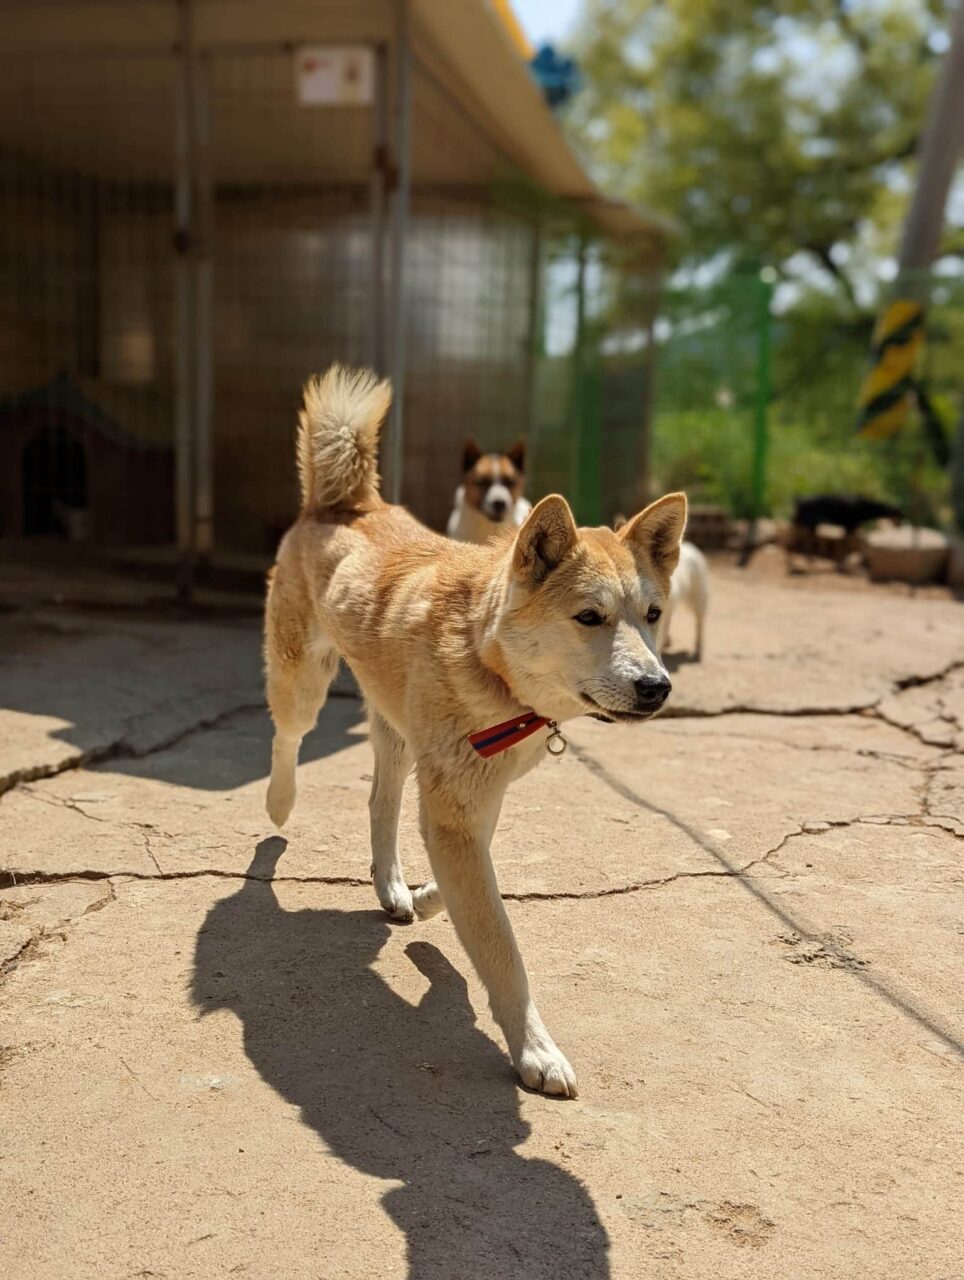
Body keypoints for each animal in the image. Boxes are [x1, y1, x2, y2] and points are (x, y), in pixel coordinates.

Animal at [263, 366, 686, 1095]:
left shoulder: (472, 802)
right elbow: (502, 949)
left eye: (653, 614)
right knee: (286, 739)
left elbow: (470, 895)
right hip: (305, 685)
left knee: (380, 804)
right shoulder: (457, 809)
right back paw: (279, 804)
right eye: (590, 617)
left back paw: (392, 885)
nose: (656, 687)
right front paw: (535, 1050)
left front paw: (426, 896)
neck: (493, 666)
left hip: (396, 731)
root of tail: (346, 506)